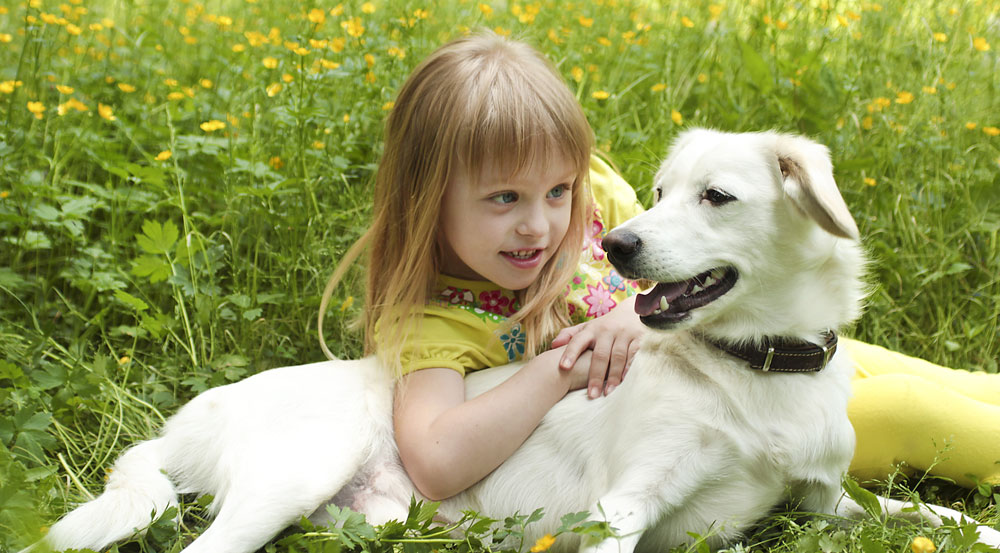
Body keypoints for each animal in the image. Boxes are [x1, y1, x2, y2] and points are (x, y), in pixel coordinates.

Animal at [25, 130, 1000, 552]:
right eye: (658, 191)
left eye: (715, 196)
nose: (620, 245)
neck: (753, 371)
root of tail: (180, 424)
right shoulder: (624, 507)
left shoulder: (826, 501)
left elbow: (932, 515)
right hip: (292, 475)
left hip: (374, 519)